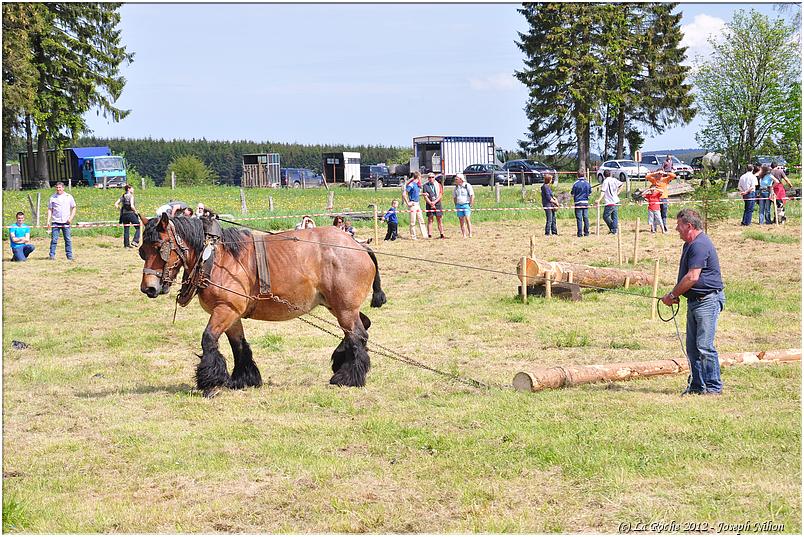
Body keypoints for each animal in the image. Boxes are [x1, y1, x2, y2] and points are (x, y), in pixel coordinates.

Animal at [138, 211, 386, 396]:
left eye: (160, 247)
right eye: (142, 251)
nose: (148, 288)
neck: (215, 258)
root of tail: (359, 246)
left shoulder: (226, 309)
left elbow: (208, 339)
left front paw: (210, 383)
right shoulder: (233, 314)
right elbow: (239, 346)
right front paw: (243, 379)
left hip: (345, 308)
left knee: (358, 335)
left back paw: (348, 377)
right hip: (339, 306)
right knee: (361, 328)